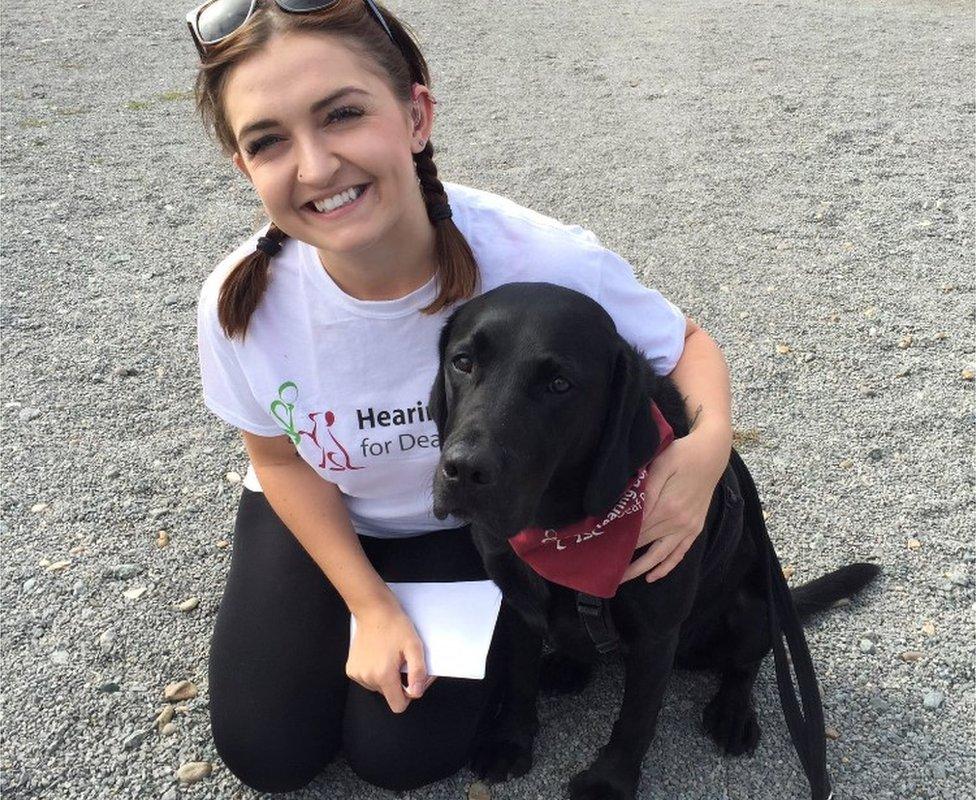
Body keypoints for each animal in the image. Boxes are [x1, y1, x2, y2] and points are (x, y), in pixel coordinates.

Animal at [428, 282, 876, 800]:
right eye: (463, 362)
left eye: (559, 384)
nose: (464, 469)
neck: (565, 527)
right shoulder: (518, 603)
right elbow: (519, 678)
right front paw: (510, 742)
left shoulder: (656, 635)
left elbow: (636, 719)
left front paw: (608, 783)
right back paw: (567, 665)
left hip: (757, 599)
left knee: (747, 664)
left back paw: (732, 713)